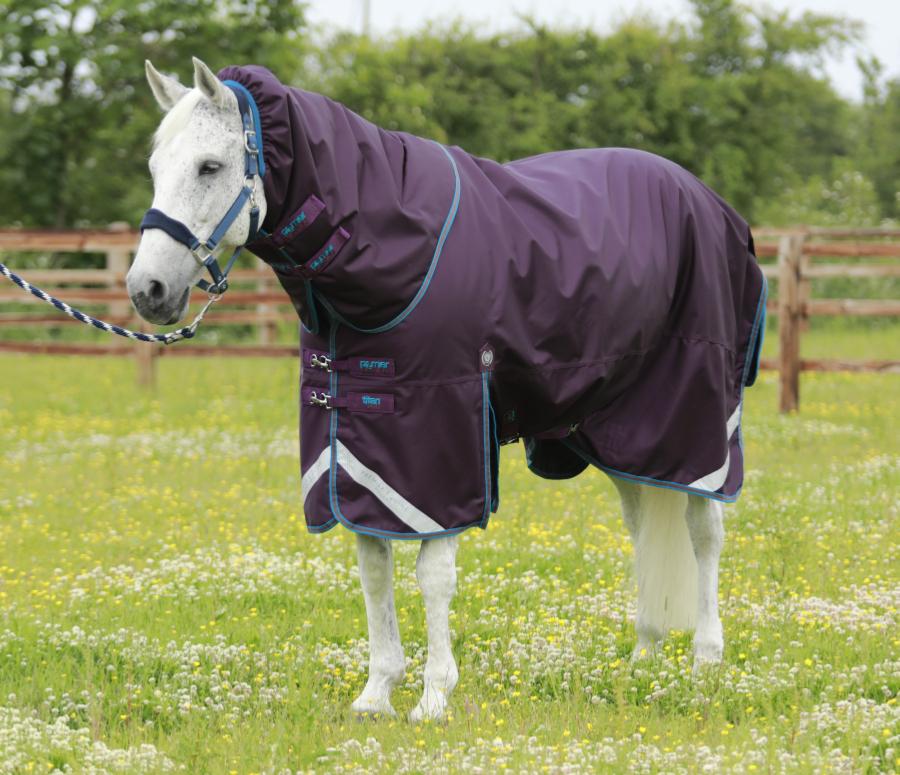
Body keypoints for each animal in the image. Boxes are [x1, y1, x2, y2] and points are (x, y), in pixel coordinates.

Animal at [127, 57, 766, 722]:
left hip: (695, 422)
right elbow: (373, 567)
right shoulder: (356, 451)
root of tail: (709, 203)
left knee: (704, 530)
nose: (147, 289)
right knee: (644, 525)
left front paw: (434, 697)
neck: (387, 256)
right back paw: (643, 657)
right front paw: (377, 692)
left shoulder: (441, 448)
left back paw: (705, 661)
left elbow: (432, 576)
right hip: (624, 434)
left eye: (210, 166)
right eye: (155, 168)